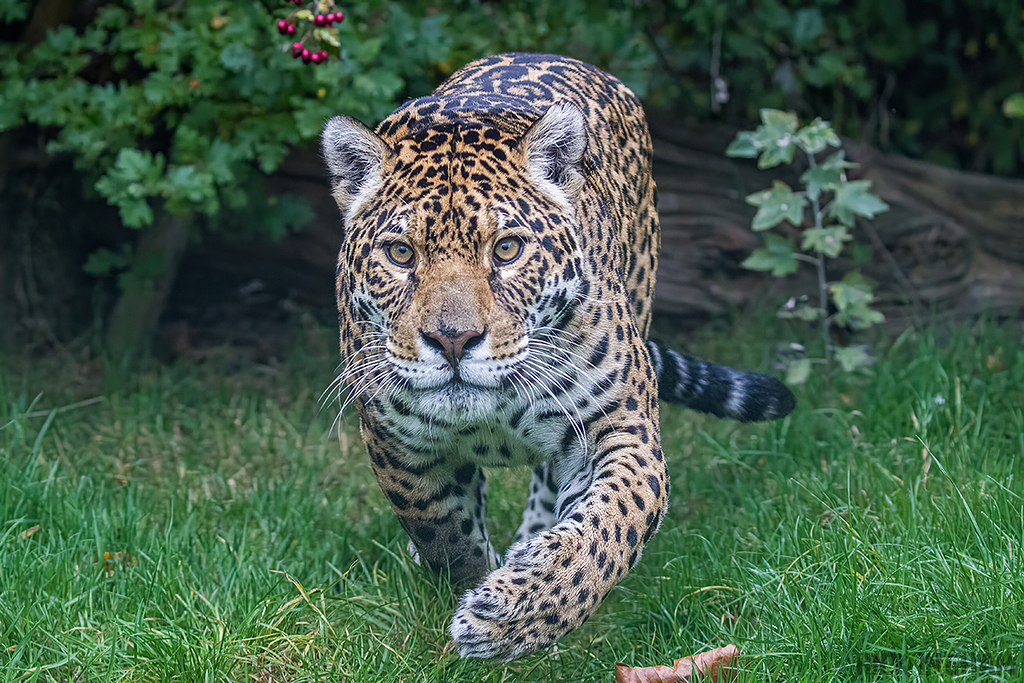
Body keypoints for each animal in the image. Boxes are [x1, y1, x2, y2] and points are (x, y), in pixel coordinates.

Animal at [321, 52, 795, 661]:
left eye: (507, 249)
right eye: (401, 254)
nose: (453, 340)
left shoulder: (620, 427)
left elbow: (609, 527)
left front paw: (511, 616)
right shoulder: (395, 442)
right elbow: (440, 527)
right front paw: (470, 576)